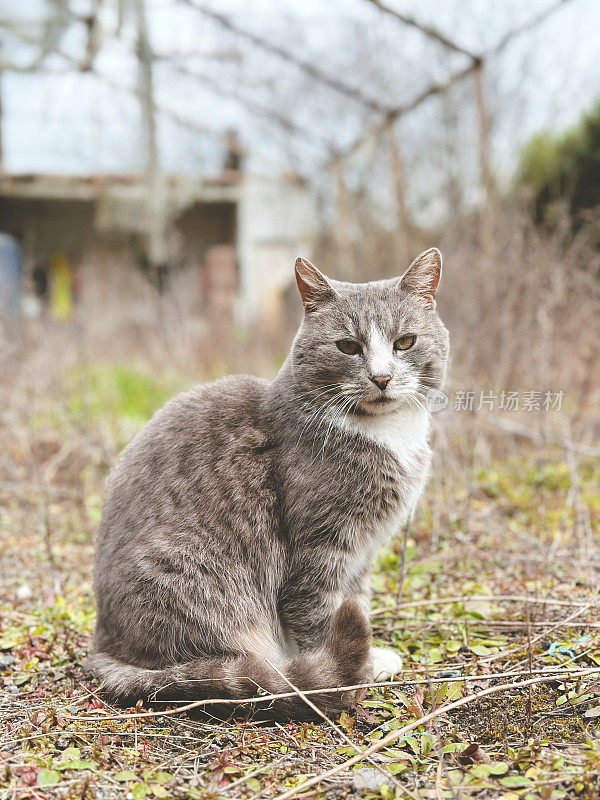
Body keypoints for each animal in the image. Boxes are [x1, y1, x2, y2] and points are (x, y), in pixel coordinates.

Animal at [90, 250, 450, 720]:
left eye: (404, 342)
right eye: (348, 347)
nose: (382, 377)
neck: (385, 433)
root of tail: (105, 646)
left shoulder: (363, 552)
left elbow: (356, 600)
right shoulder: (319, 549)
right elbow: (319, 617)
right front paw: (346, 669)